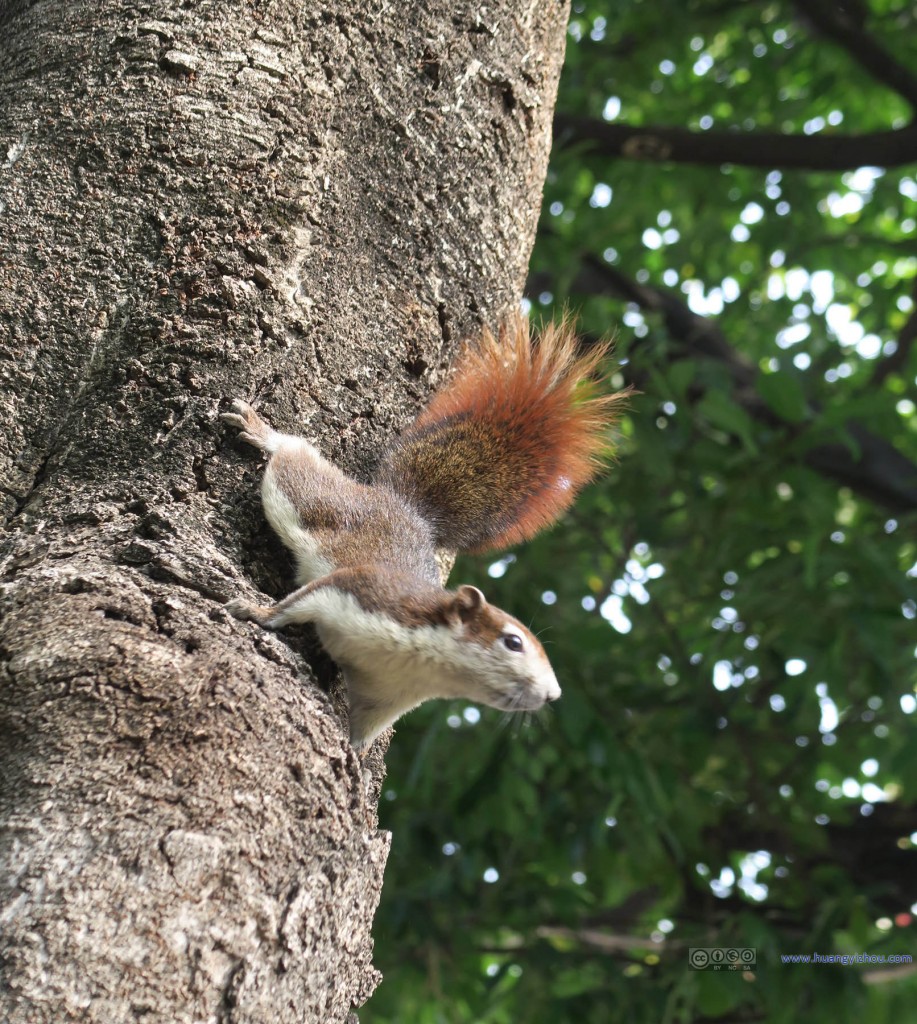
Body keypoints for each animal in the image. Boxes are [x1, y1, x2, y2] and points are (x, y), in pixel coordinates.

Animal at [224, 313, 622, 753]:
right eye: (513, 641)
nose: (553, 694)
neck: (425, 664)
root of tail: (408, 509)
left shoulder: (386, 697)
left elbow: (362, 730)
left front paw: (355, 760)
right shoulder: (361, 590)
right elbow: (294, 605)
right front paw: (256, 612)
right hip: (317, 505)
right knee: (295, 461)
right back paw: (264, 432)